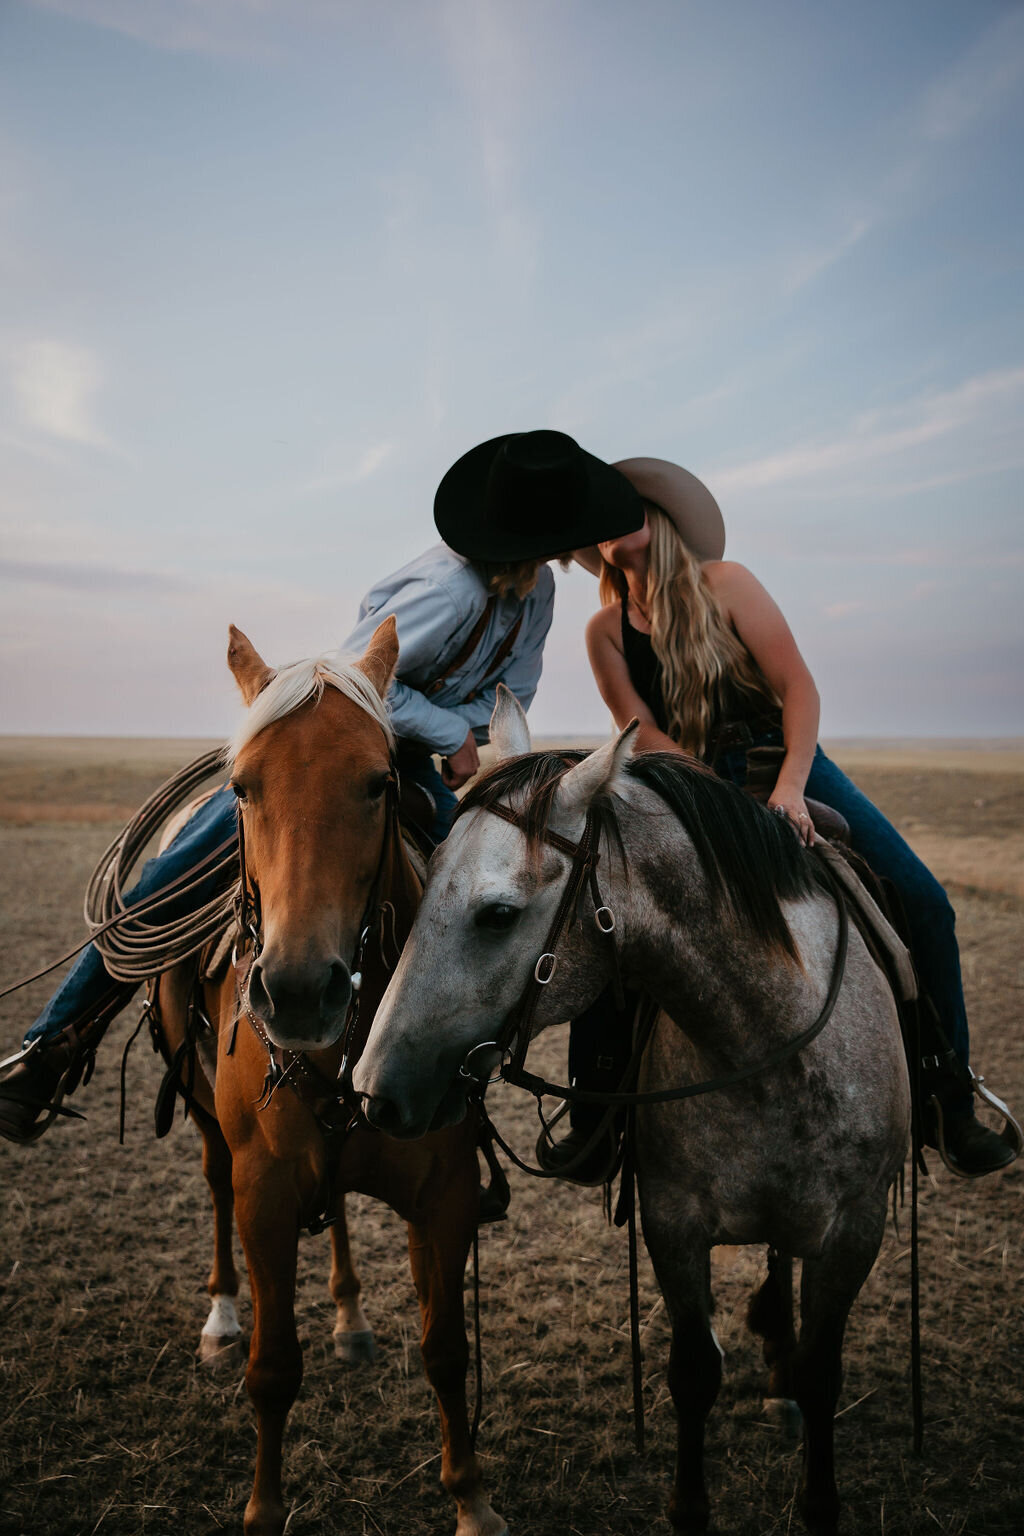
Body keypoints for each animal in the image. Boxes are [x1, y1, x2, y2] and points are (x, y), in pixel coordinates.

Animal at [153, 620, 503, 1536]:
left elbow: (446, 1348)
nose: (300, 990)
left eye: (379, 783)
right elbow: (274, 1368)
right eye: (242, 789)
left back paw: (349, 1316)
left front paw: (470, 1497)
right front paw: (263, 1507)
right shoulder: (266, 1191)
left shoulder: (447, 1191)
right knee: (213, 1186)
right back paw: (221, 1317)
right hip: (209, 1127)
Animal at [359, 691, 914, 1529]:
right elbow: (694, 1371)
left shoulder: (856, 1229)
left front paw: (818, 1500)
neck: (770, 1045)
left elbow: (824, 1373)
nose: (376, 1087)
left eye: (497, 914)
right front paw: (689, 1507)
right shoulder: (673, 1224)